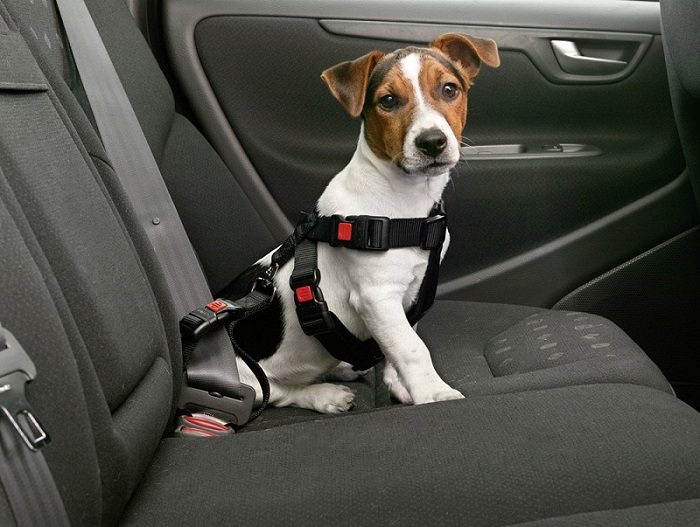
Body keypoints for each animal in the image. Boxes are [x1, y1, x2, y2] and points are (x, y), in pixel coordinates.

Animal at [226, 33, 499, 413]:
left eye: (449, 89)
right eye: (388, 100)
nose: (432, 142)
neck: (404, 205)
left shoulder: (410, 291)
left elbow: (398, 344)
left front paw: (401, 386)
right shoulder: (377, 297)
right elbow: (412, 347)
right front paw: (433, 394)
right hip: (247, 377)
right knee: (276, 392)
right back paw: (324, 395)